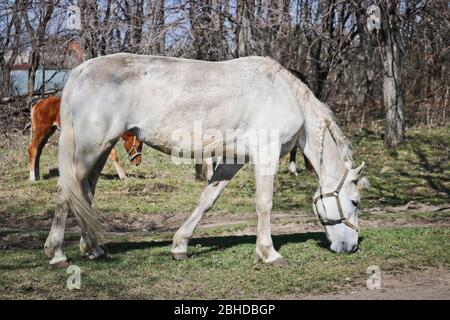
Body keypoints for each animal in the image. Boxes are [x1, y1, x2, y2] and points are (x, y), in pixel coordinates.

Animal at [43, 53, 366, 266]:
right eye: (354, 202)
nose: (350, 247)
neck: (285, 95)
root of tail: (79, 72)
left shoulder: (233, 159)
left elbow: (206, 200)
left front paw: (180, 246)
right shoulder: (266, 154)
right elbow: (264, 204)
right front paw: (269, 252)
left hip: (99, 150)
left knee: (85, 194)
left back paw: (92, 249)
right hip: (89, 148)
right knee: (64, 193)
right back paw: (57, 253)